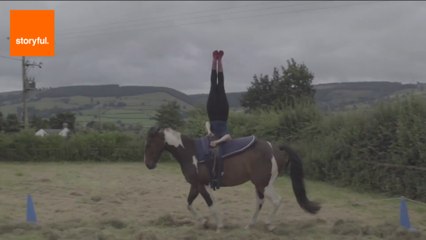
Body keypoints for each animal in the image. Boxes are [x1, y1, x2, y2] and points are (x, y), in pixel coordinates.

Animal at [143, 126, 320, 232]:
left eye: (149, 143)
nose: (148, 164)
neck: (191, 153)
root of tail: (276, 148)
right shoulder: (195, 185)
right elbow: (188, 204)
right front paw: (203, 222)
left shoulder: (202, 186)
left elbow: (211, 205)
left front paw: (219, 226)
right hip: (259, 185)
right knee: (260, 202)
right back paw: (250, 225)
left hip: (264, 184)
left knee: (276, 201)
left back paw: (269, 225)